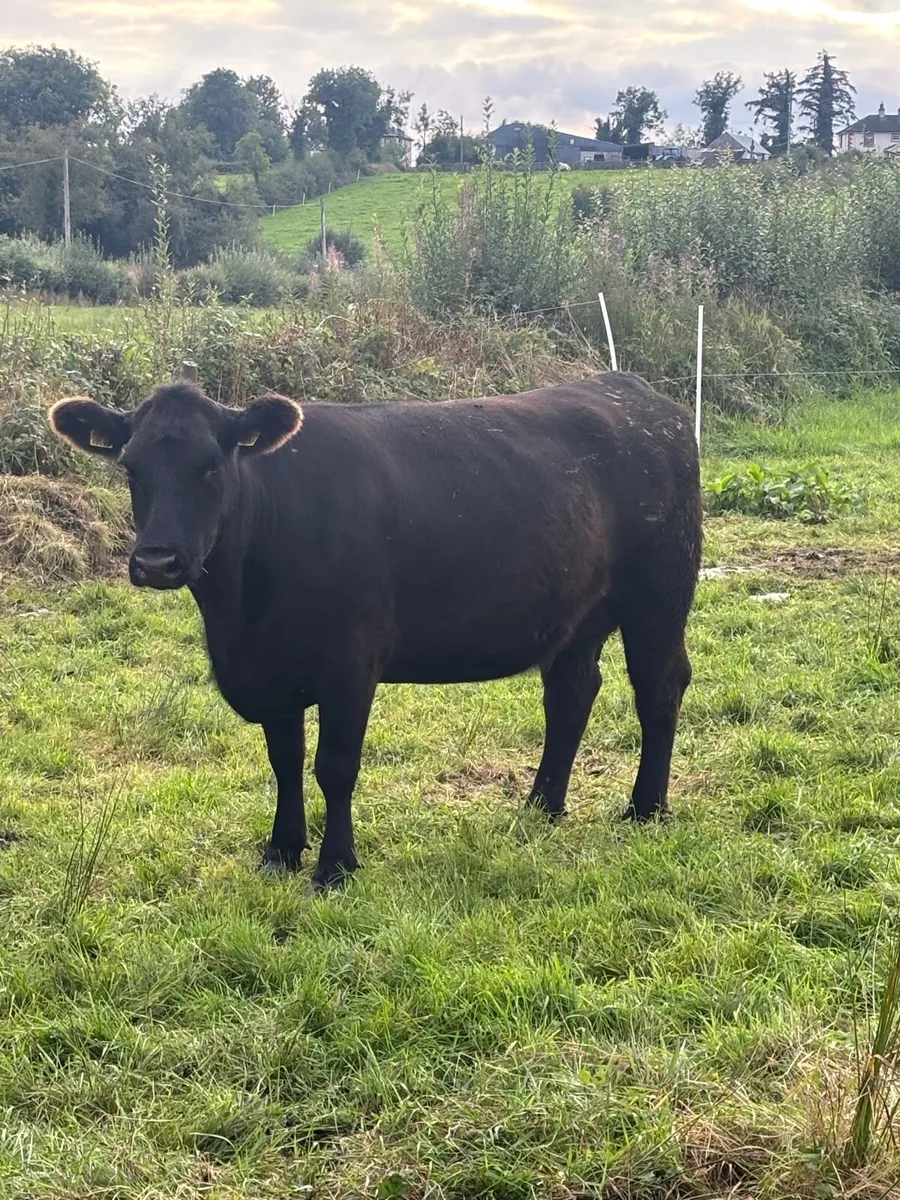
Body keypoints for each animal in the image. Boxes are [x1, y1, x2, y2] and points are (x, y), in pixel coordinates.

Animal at [49, 373, 702, 890]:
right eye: (131, 468)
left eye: (211, 465)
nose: (156, 561)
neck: (239, 614)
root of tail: (637, 393)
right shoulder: (273, 669)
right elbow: (284, 759)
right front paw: (282, 850)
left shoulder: (350, 661)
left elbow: (335, 765)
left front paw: (335, 866)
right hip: (580, 612)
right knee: (571, 692)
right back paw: (542, 805)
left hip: (659, 594)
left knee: (659, 687)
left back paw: (646, 808)